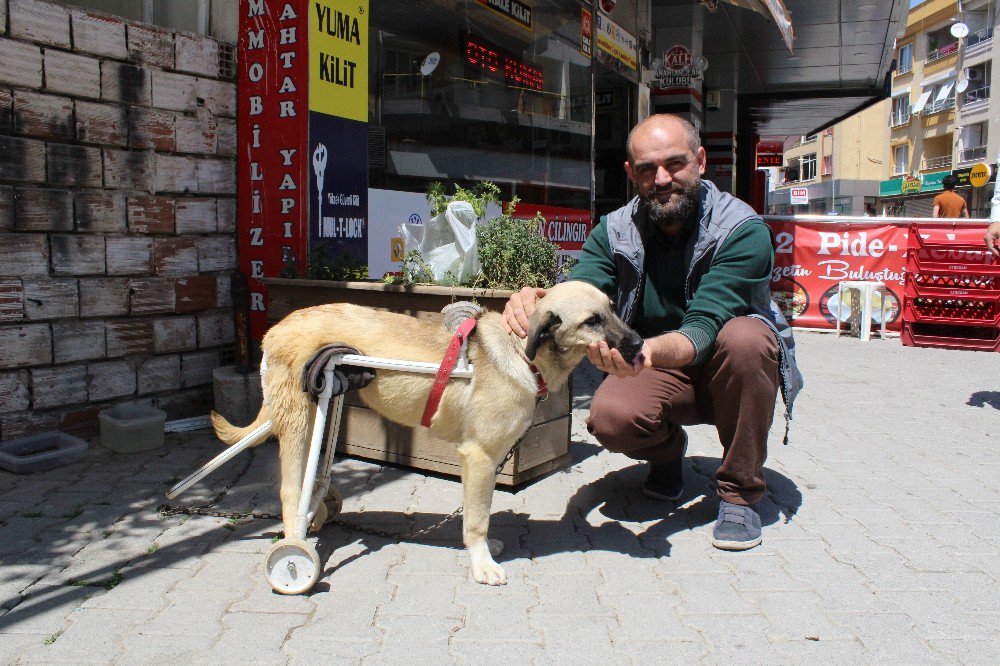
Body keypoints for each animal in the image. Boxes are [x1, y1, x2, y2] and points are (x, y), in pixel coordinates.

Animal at [215, 278, 644, 580]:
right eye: (592, 321)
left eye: (612, 309)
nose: (640, 343)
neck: (522, 354)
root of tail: (278, 327)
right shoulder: (479, 458)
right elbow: (477, 519)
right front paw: (481, 564)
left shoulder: (485, 464)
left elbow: (480, 512)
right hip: (298, 421)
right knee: (291, 491)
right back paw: (295, 549)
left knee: (311, 481)